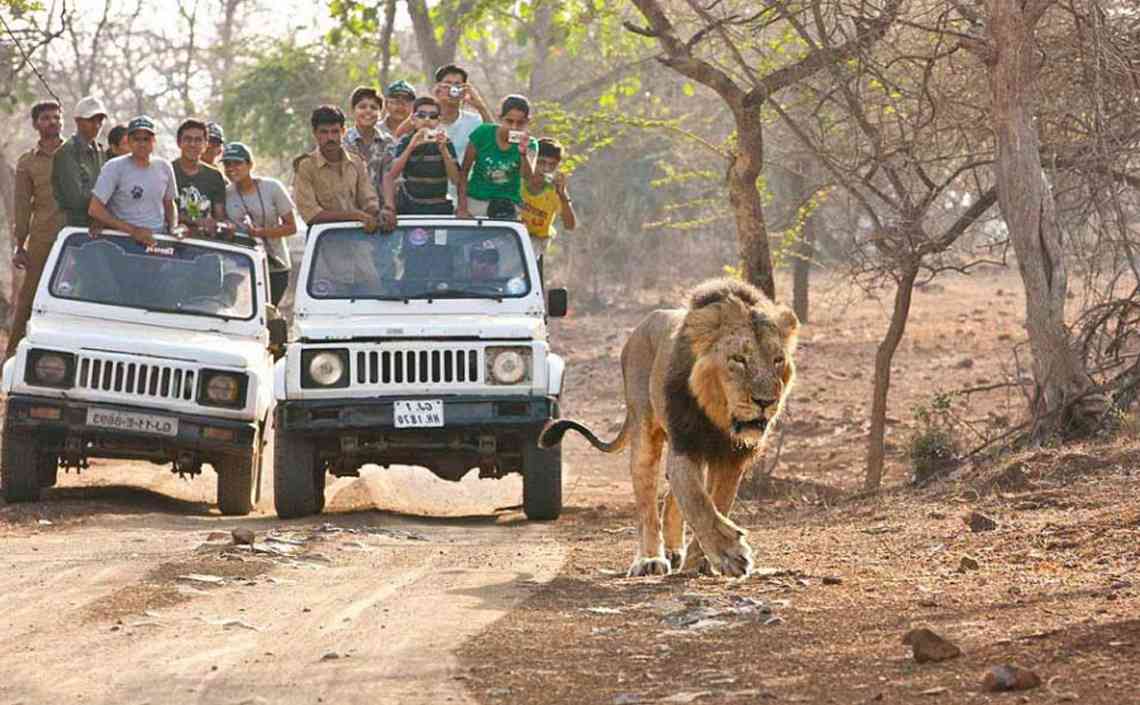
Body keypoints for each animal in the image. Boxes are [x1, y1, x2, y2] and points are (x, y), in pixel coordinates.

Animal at [540, 278, 798, 577]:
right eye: (738, 359)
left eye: (778, 360)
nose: (766, 402)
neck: (718, 414)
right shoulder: (685, 443)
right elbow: (698, 501)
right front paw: (730, 554)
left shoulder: (732, 457)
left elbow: (717, 503)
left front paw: (702, 560)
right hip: (644, 431)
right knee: (647, 502)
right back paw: (651, 559)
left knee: (672, 499)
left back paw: (676, 552)